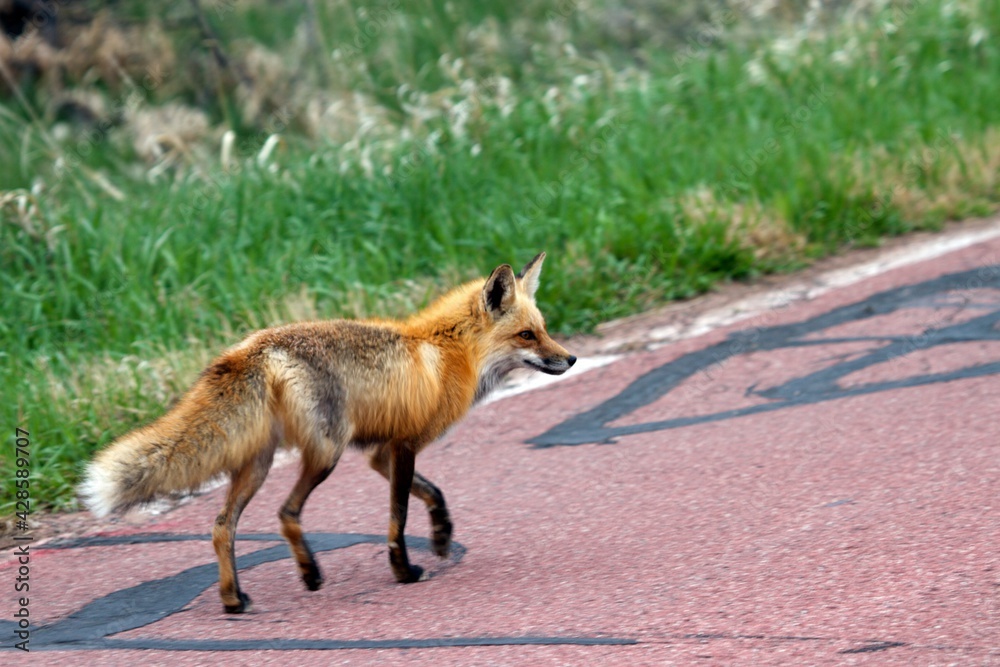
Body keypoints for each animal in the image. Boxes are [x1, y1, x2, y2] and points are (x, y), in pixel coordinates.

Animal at [80, 252, 575, 613]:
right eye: (527, 335)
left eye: (544, 330)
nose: (570, 359)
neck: (449, 350)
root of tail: (254, 347)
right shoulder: (404, 446)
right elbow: (398, 518)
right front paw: (403, 571)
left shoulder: (381, 453)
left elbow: (433, 493)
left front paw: (441, 537)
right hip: (325, 453)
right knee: (286, 513)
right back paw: (311, 574)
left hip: (258, 464)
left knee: (223, 527)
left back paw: (233, 599)